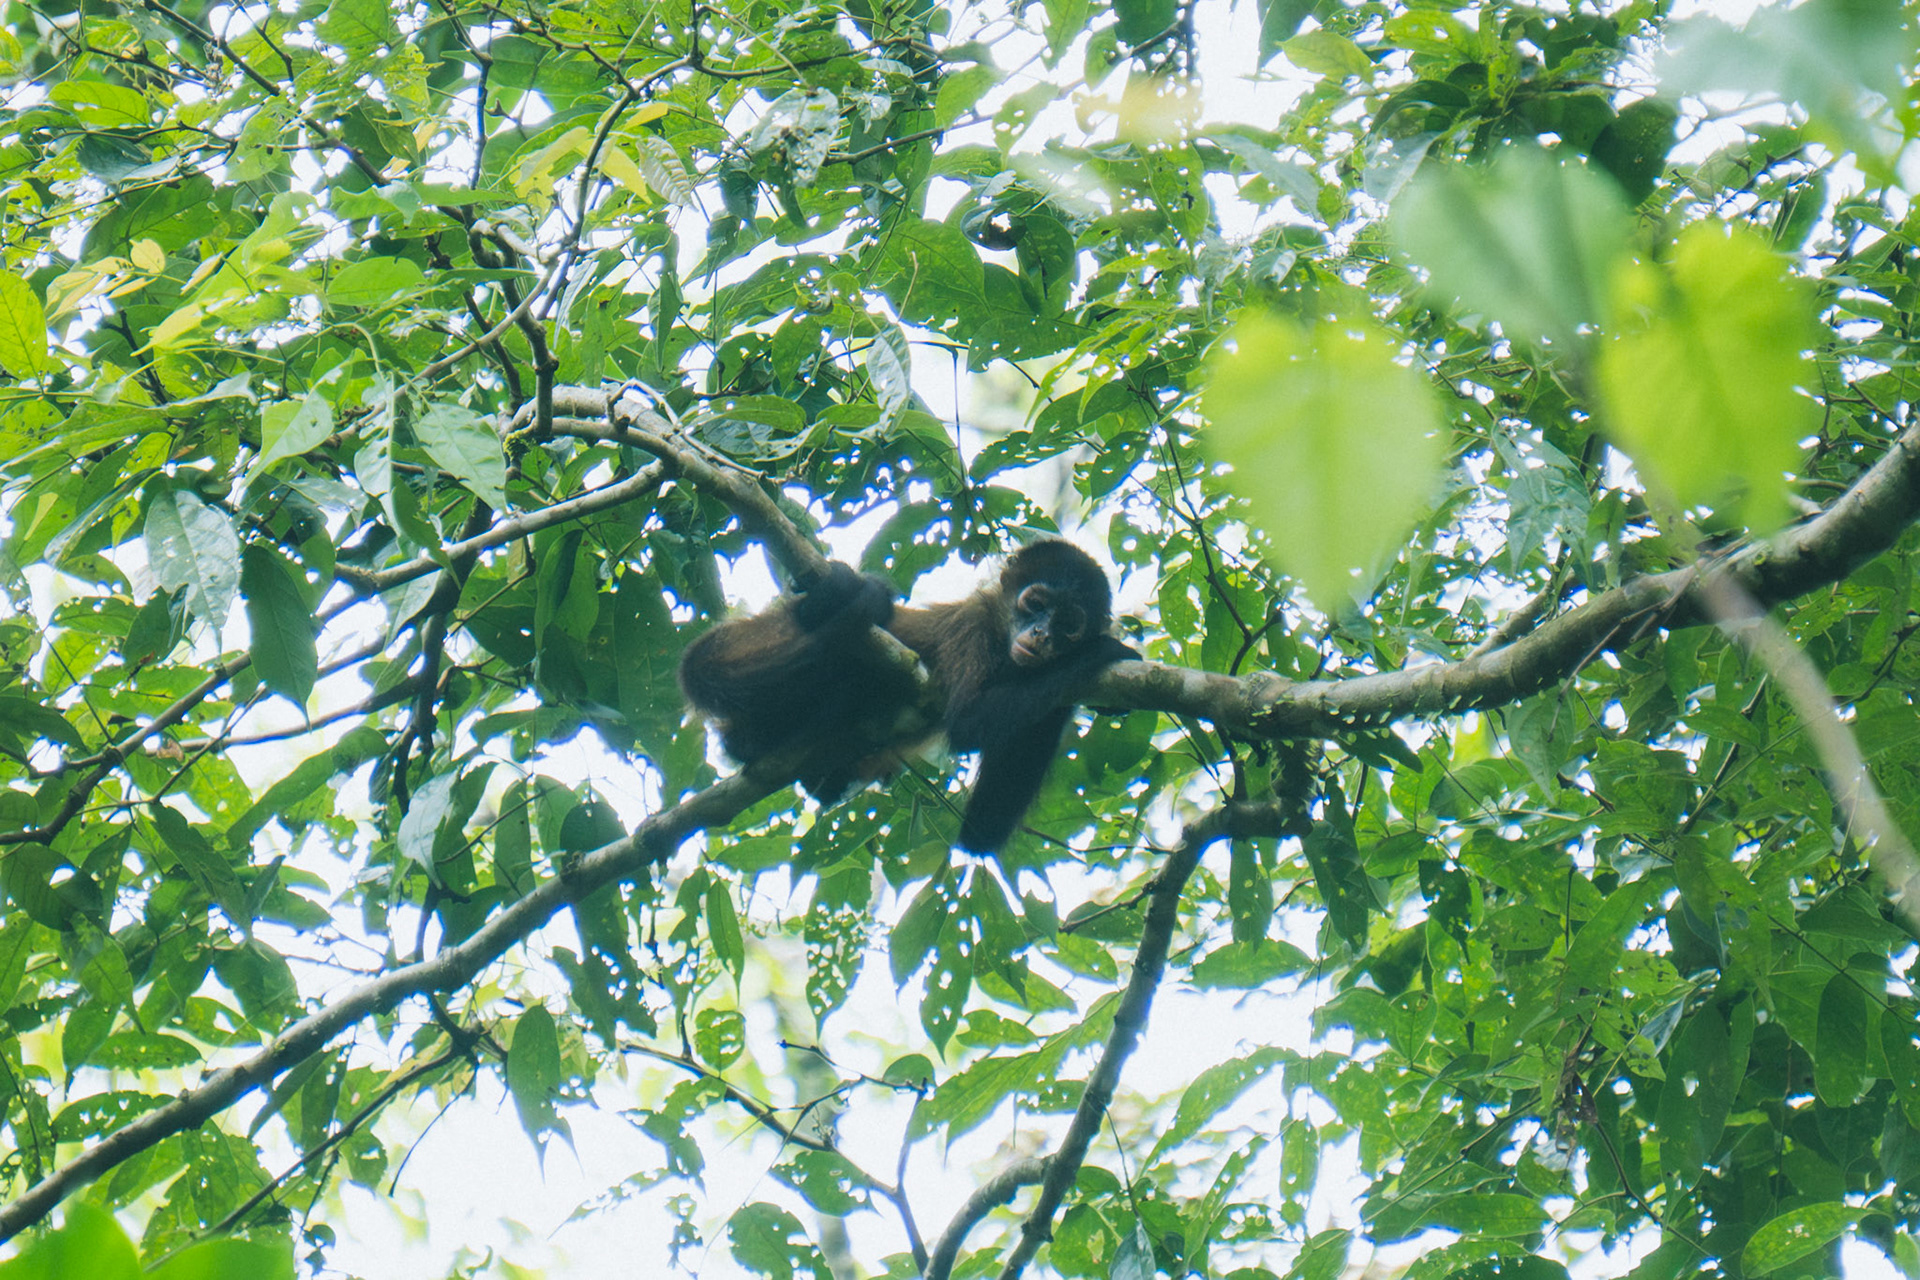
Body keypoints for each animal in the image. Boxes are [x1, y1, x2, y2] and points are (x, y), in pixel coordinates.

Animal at [676, 540, 1137, 853]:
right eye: (1035, 603)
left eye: (1068, 624)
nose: (1042, 634)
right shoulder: (971, 628)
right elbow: (967, 726)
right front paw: (1105, 651)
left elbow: (981, 834)